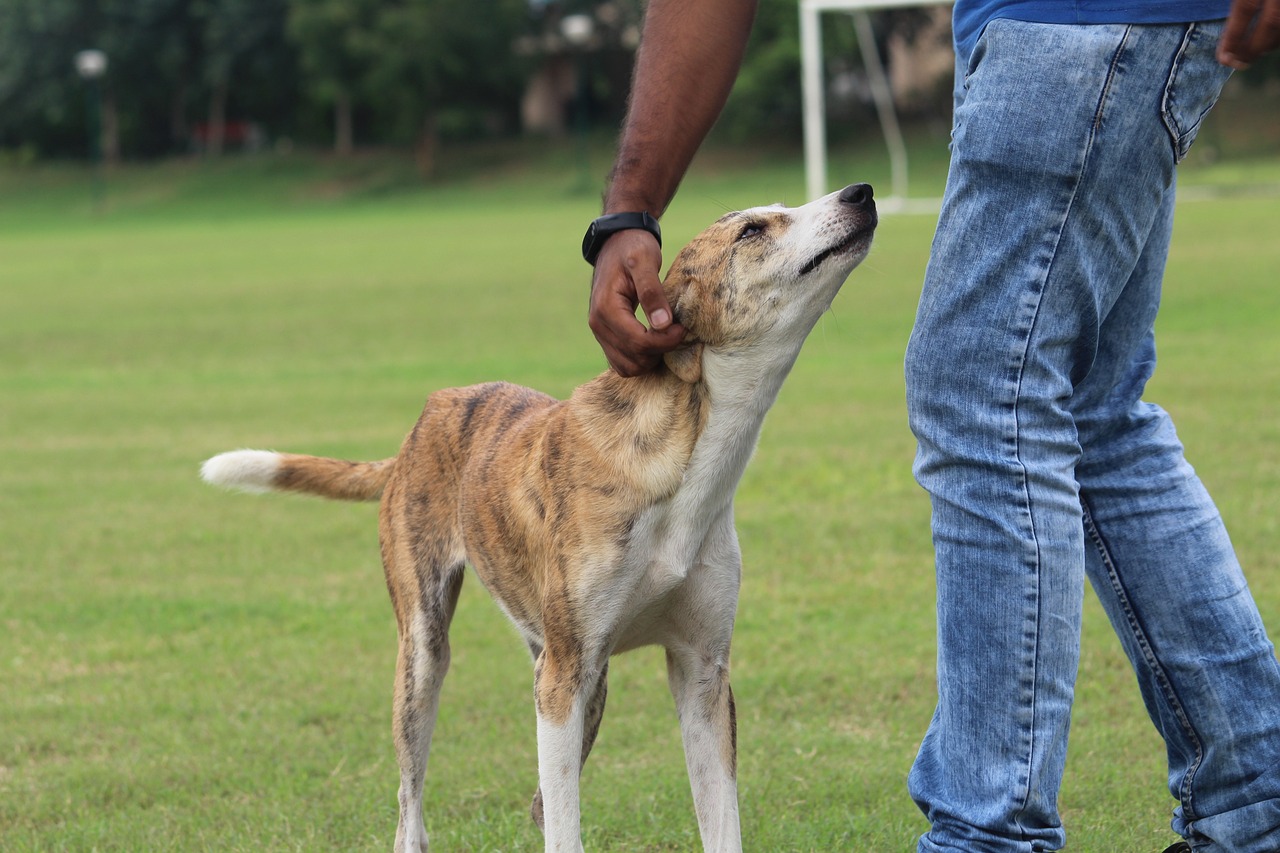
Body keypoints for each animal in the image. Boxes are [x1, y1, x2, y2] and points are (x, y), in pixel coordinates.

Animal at [202, 183, 880, 845]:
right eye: (751, 230)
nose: (862, 193)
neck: (686, 461)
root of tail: (420, 425)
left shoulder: (702, 674)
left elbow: (720, 823)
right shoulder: (563, 678)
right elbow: (563, 826)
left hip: (576, 677)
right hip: (429, 655)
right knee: (409, 804)